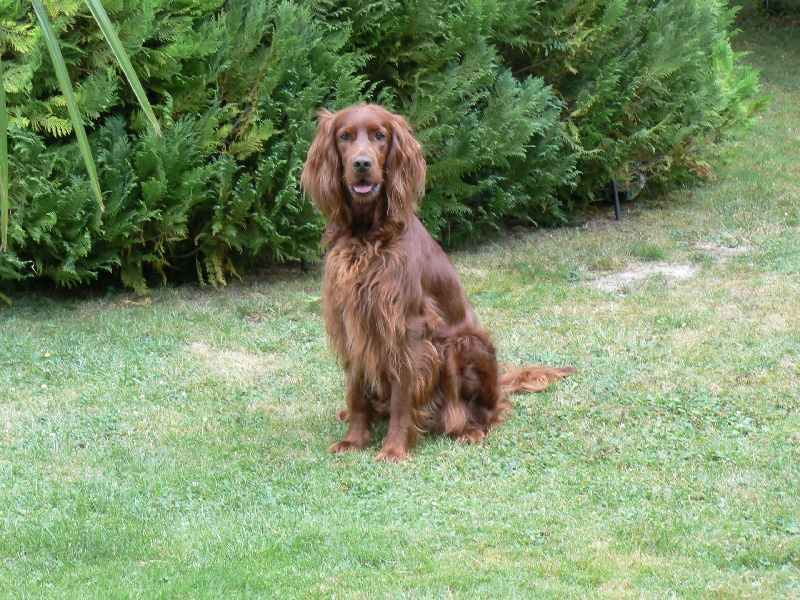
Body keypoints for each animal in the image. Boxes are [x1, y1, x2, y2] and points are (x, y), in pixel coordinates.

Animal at [302, 103, 576, 462]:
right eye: (344, 137)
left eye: (380, 136)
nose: (361, 164)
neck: (367, 235)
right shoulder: (350, 320)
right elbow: (356, 391)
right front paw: (354, 440)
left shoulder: (408, 328)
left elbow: (403, 398)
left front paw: (393, 449)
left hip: (461, 346)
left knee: (493, 411)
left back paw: (471, 430)